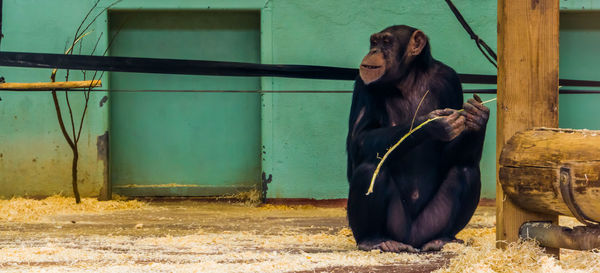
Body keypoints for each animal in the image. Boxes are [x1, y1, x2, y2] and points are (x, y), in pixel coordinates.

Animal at [344, 25, 490, 251]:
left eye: (386, 42)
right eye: (374, 42)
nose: (374, 51)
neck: (407, 79)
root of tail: (412, 240)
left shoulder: (450, 79)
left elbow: (450, 155)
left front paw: (478, 117)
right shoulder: (363, 84)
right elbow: (358, 140)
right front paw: (431, 124)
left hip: (431, 222)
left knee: (466, 170)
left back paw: (443, 239)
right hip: (397, 227)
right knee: (370, 168)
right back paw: (373, 239)